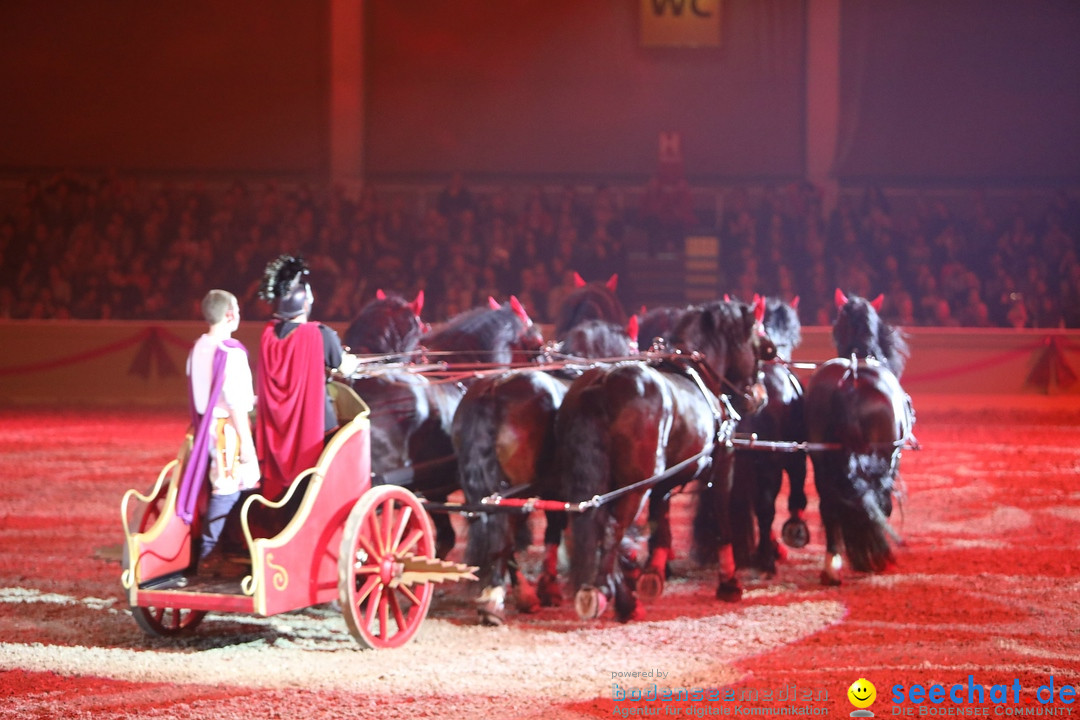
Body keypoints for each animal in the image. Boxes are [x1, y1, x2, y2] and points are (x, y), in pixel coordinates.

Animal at [552, 297, 773, 621]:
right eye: (758, 343)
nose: (760, 395)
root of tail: (601, 383)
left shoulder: (665, 480)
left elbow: (661, 518)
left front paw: (654, 572)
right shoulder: (723, 463)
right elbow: (721, 518)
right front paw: (729, 582)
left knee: (592, 524)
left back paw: (621, 596)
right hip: (635, 486)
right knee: (611, 528)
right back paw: (607, 593)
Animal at [807, 291, 915, 587]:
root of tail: (850, 379)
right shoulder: (893, 460)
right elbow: (883, 504)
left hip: (821, 458)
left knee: (828, 504)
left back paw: (832, 565)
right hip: (882, 457)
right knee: (874, 500)